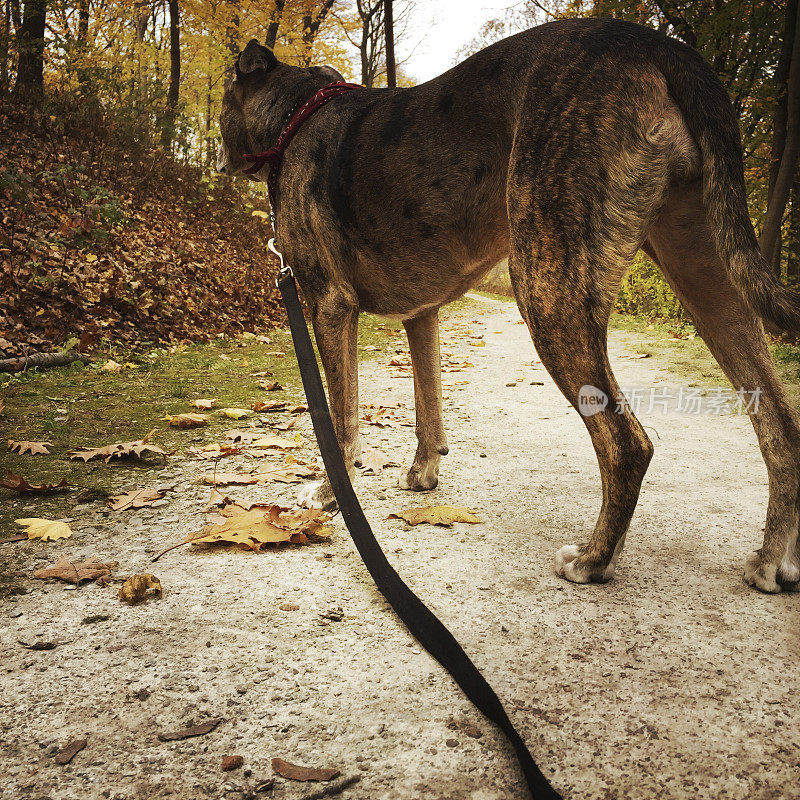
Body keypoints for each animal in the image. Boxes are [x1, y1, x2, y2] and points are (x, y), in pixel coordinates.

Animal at [216, 18, 800, 592]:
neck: (297, 117)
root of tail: (654, 42)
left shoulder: (329, 305)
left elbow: (340, 420)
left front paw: (329, 493)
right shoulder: (421, 315)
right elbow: (428, 406)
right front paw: (424, 473)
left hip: (549, 286)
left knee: (625, 443)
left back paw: (595, 560)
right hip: (710, 276)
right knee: (780, 425)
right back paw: (773, 561)